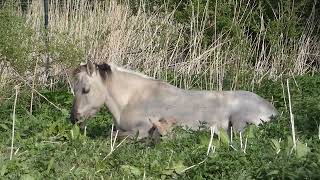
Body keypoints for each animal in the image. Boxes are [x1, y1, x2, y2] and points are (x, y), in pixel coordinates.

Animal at [70, 61, 278, 139]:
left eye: (85, 90)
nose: (74, 118)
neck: (132, 98)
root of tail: (272, 110)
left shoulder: (141, 129)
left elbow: (114, 135)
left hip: (239, 125)